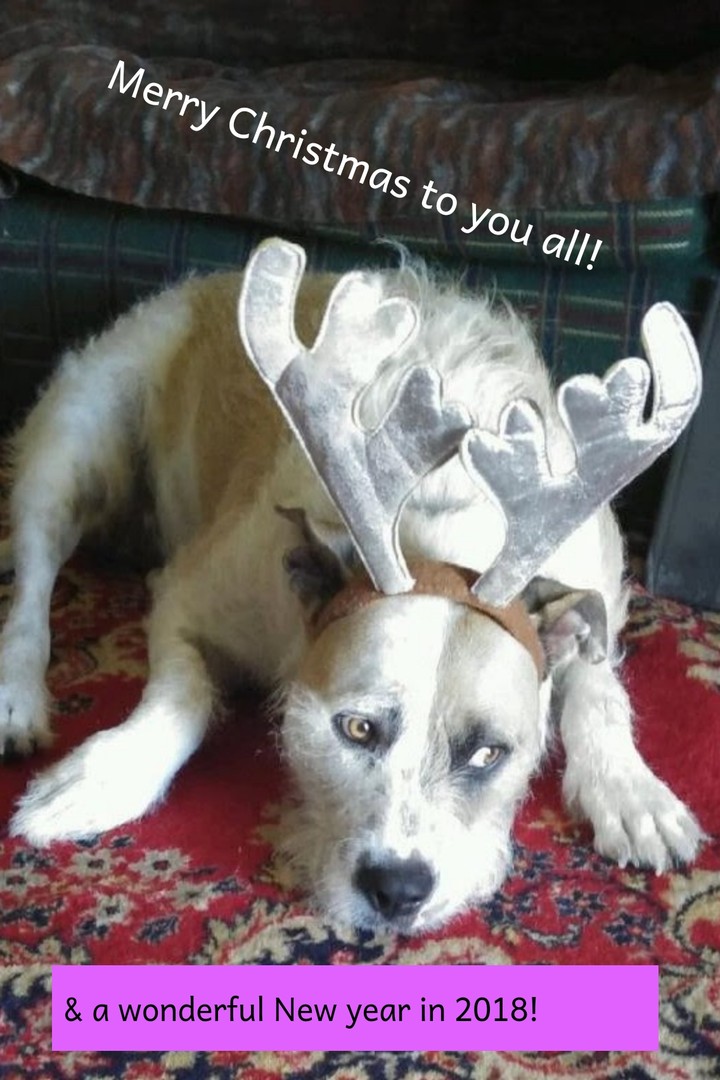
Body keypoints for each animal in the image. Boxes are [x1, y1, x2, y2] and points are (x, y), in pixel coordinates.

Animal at [1, 237, 704, 932]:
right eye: (357, 728)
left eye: (487, 755)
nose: (398, 889)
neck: (432, 528)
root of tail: (203, 283)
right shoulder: (192, 597)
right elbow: (183, 694)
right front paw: (106, 775)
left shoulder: (589, 599)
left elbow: (598, 688)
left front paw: (631, 791)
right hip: (79, 431)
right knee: (35, 569)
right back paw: (18, 692)